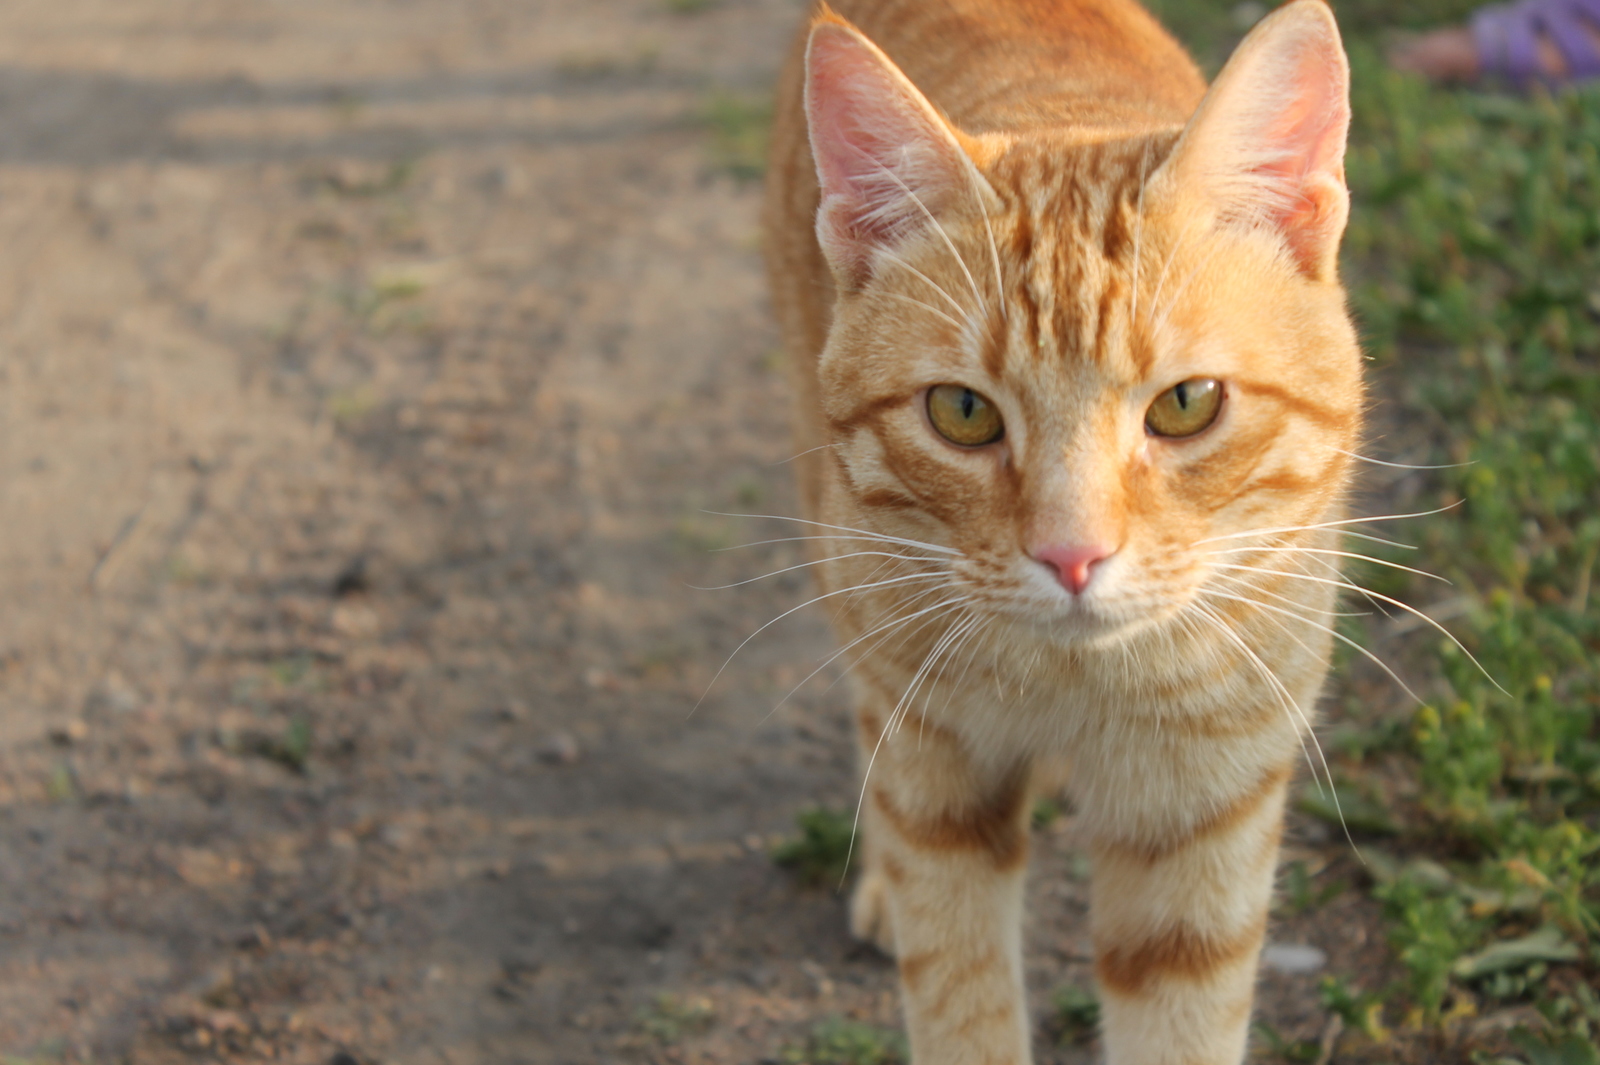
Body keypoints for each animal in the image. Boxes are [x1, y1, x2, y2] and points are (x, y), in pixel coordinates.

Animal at [764, 0, 1363, 1055]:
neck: (1076, 683)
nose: (1072, 556)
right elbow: (961, 1000)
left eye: (1187, 405)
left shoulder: (1202, 810)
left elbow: (1183, 1021)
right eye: (962, 412)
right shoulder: (938, 782)